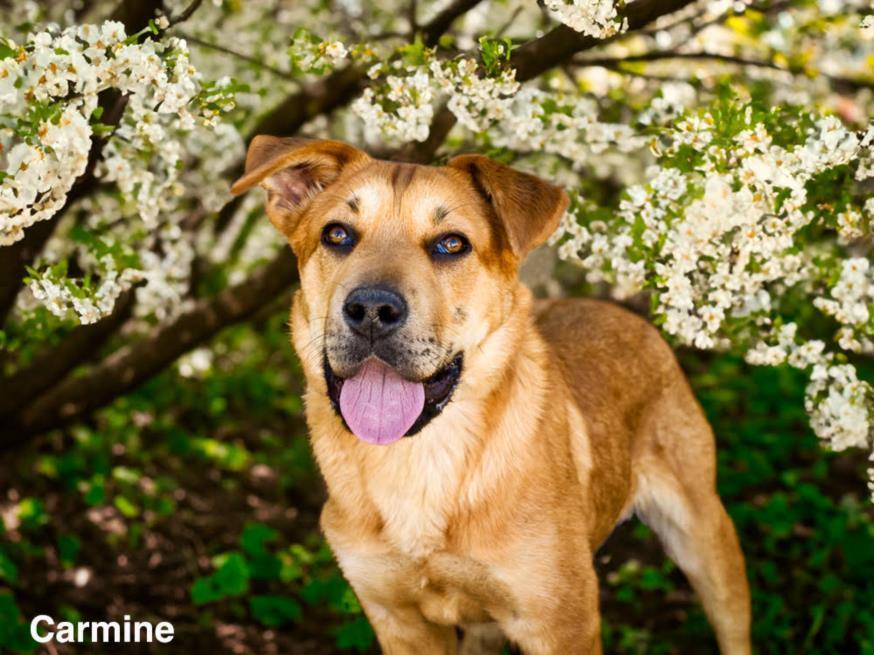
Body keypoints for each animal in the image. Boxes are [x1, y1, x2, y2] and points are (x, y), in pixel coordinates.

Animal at [230, 136, 748, 652]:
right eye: (337, 235)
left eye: (451, 244)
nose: (372, 309)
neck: (417, 460)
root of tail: (619, 310)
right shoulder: (398, 619)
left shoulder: (561, 624)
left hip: (706, 536)